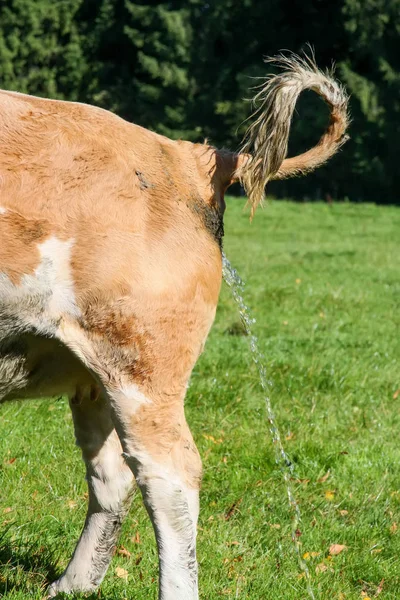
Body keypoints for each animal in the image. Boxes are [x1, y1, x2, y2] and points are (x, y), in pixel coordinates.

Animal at [0, 54, 348, 596]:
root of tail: (188, 156)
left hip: (143, 358)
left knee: (171, 478)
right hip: (97, 370)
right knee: (113, 475)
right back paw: (72, 585)